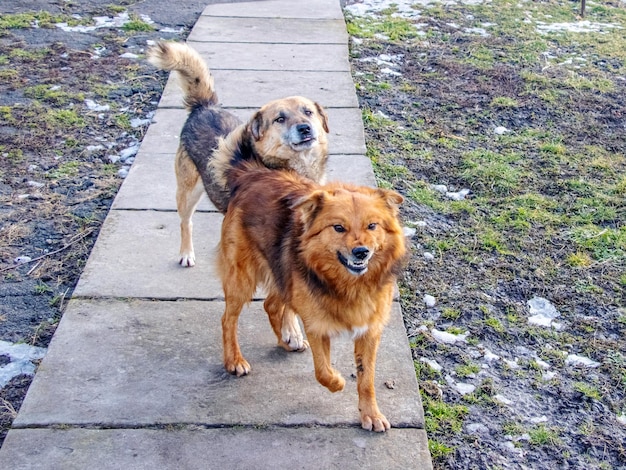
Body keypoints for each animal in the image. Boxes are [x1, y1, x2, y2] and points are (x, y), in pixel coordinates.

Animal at [217, 162, 408, 434]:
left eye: (372, 226)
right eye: (338, 227)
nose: (362, 252)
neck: (350, 285)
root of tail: (252, 174)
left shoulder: (369, 331)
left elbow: (366, 377)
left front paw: (370, 414)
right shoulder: (317, 325)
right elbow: (323, 371)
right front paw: (338, 381)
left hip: (284, 273)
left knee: (271, 304)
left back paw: (286, 342)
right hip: (242, 278)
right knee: (228, 320)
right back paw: (234, 360)